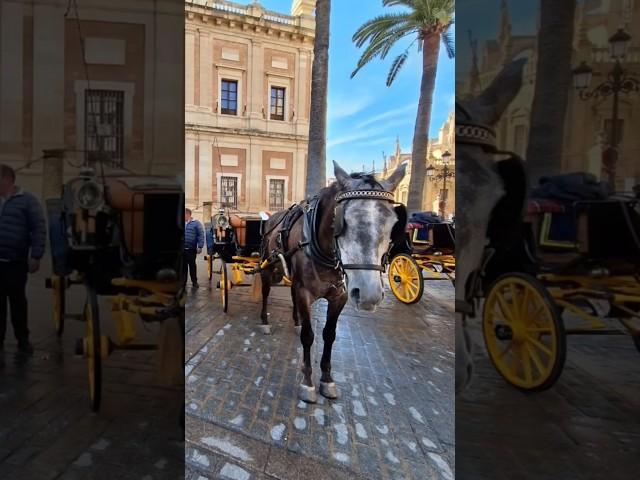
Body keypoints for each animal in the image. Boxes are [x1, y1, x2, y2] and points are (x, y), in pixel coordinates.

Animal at [251, 160, 404, 402]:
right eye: (342, 220)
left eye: (393, 222)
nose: (369, 294)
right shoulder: (305, 291)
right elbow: (308, 336)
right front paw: (308, 382)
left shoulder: (339, 295)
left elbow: (329, 335)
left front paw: (327, 379)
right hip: (268, 267)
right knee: (266, 291)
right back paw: (265, 321)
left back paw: (296, 320)